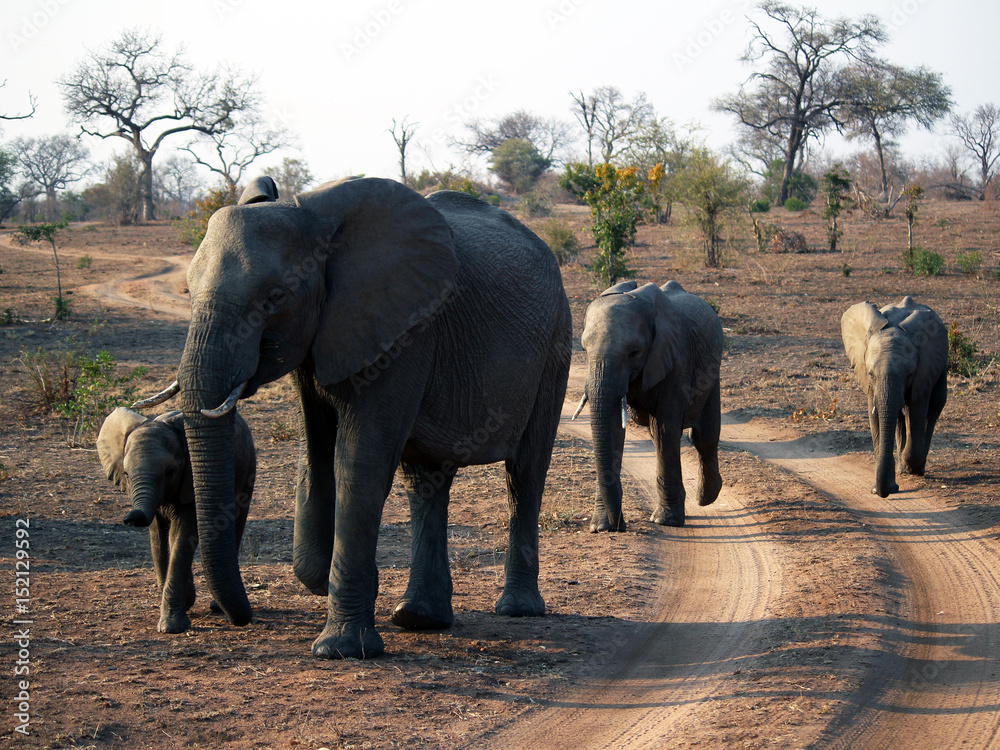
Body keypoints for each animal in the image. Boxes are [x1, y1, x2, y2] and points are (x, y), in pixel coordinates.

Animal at [97, 407, 256, 633]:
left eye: (170, 471)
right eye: (126, 474)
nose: (129, 518)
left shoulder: (189, 480)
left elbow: (181, 535)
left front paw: (171, 626)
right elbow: (158, 538)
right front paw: (185, 601)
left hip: (248, 466)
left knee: (236, 521)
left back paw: (217, 606)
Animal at [136, 175, 571, 659]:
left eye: (275, 298)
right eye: (189, 291)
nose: (237, 616)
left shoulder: (407, 329)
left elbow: (359, 462)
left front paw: (340, 648)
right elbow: (318, 456)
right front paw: (341, 582)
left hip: (555, 344)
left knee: (524, 475)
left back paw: (517, 610)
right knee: (426, 481)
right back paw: (419, 618)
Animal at [577, 280, 723, 531]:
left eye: (634, 352)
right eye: (585, 350)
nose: (620, 525)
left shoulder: (676, 356)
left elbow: (665, 429)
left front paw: (667, 521)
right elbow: (613, 429)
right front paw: (601, 527)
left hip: (713, 372)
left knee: (705, 437)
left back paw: (706, 499)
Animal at [841, 296, 948, 497]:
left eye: (909, 374)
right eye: (871, 373)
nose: (887, 490)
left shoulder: (923, 371)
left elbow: (917, 410)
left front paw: (910, 468)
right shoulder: (869, 380)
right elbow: (875, 417)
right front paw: (881, 487)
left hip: (941, 365)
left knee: (935, 405)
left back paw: (915, 467)